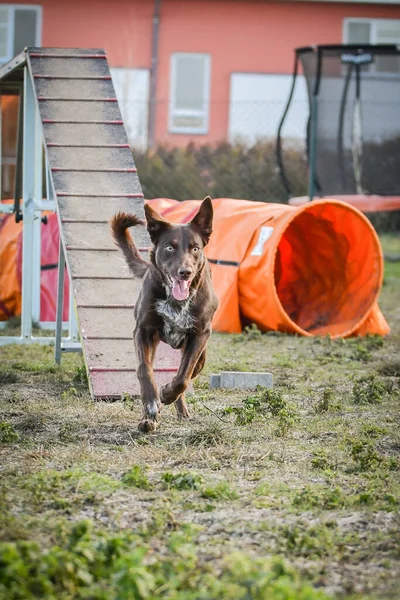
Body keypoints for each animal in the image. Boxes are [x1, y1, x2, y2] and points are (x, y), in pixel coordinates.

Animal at [109, 197, 217, 432]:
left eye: (195, 248)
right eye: (169, 247)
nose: (184, 272)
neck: (176, 302)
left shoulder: (200, 335)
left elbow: (183, 377)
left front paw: (166, 393)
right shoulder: (143, 331)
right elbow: (144, 370)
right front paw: (152, 404)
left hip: (200, 351)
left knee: (190, 372)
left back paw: (181, 410)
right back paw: (148, 418)